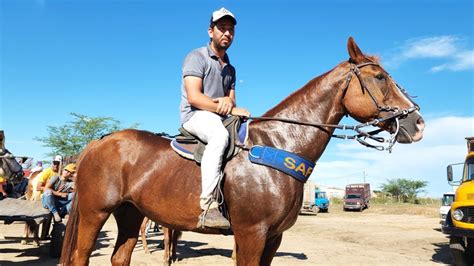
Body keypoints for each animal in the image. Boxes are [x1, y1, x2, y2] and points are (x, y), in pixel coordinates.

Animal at [60, 38, 426, 266]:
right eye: (379, 77)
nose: (418, 123)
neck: (280, 143)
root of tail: (99, 141)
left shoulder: (273, 237)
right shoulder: (252, 233)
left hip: (130, 213)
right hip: (95, 212)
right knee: (80, 256)